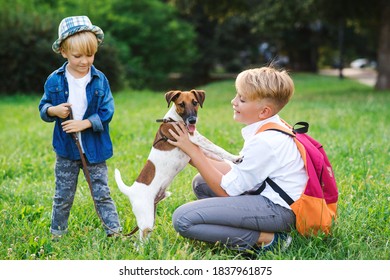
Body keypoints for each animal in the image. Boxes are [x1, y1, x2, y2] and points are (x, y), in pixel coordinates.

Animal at [113, 89, 241, 238]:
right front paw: (236, 158)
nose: (192, 120)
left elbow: (217, 156)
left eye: (195, 102)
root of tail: (131, 191)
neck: (174, 120)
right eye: (181, 104)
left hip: (150, 214)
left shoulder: (198, 148)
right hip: (146, 216)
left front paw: (232, 163)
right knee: (141, 239)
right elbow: (217, 148)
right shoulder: (196, 139)